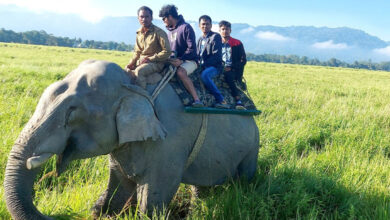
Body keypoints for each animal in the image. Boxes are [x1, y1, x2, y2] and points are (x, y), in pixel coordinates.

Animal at [3, 59, 258, 219]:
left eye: (72, 114)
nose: (66, 214)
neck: (133, 87)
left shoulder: (170, 142)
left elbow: (152, 199)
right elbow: (119, 184)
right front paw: (100, 212)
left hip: (251, 148)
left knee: (245, 180)